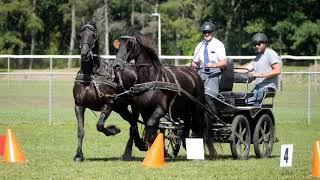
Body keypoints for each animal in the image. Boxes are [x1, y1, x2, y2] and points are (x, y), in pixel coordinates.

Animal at [72, 22, 145, 162]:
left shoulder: (109, 103)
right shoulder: (79, 105)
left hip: (133, 106)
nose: (85, 54)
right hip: (121, 108)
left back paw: (133, 148)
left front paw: (113, 130)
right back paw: (135, 146)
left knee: (133, 124)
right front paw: (78, 155)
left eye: (93, 35)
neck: (92, 75)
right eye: (80, 35)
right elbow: (80, 131)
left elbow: (100, 125)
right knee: (132, 123)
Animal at [113, 29, 218, 159]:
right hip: (182, 109)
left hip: (196, 107)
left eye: (130, 44)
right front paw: (153, 148)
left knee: (197, 127)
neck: (150, 80)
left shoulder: (160, 109)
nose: (116, 65)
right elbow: (148, 127)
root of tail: (193, 73)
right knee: (186, 126)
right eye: (119, 44)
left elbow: (151, 126)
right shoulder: (143, 110)